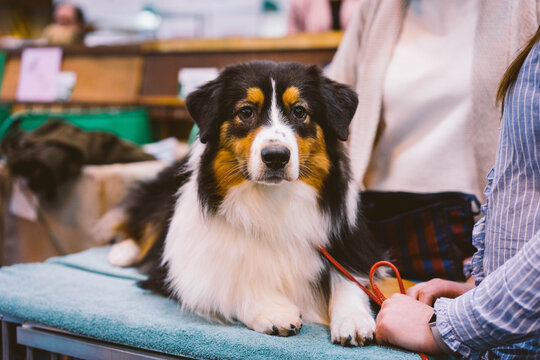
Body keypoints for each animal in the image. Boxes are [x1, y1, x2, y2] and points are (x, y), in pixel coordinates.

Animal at [97, 61, 384, 346]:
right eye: (246, 111)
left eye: (300, 111)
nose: (276, 157)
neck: (271, 198)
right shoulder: (183, 272)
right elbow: (226, 287)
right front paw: (271, 310)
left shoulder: (350, 247)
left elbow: (350, 281)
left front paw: (353, 319)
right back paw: (122, 251)